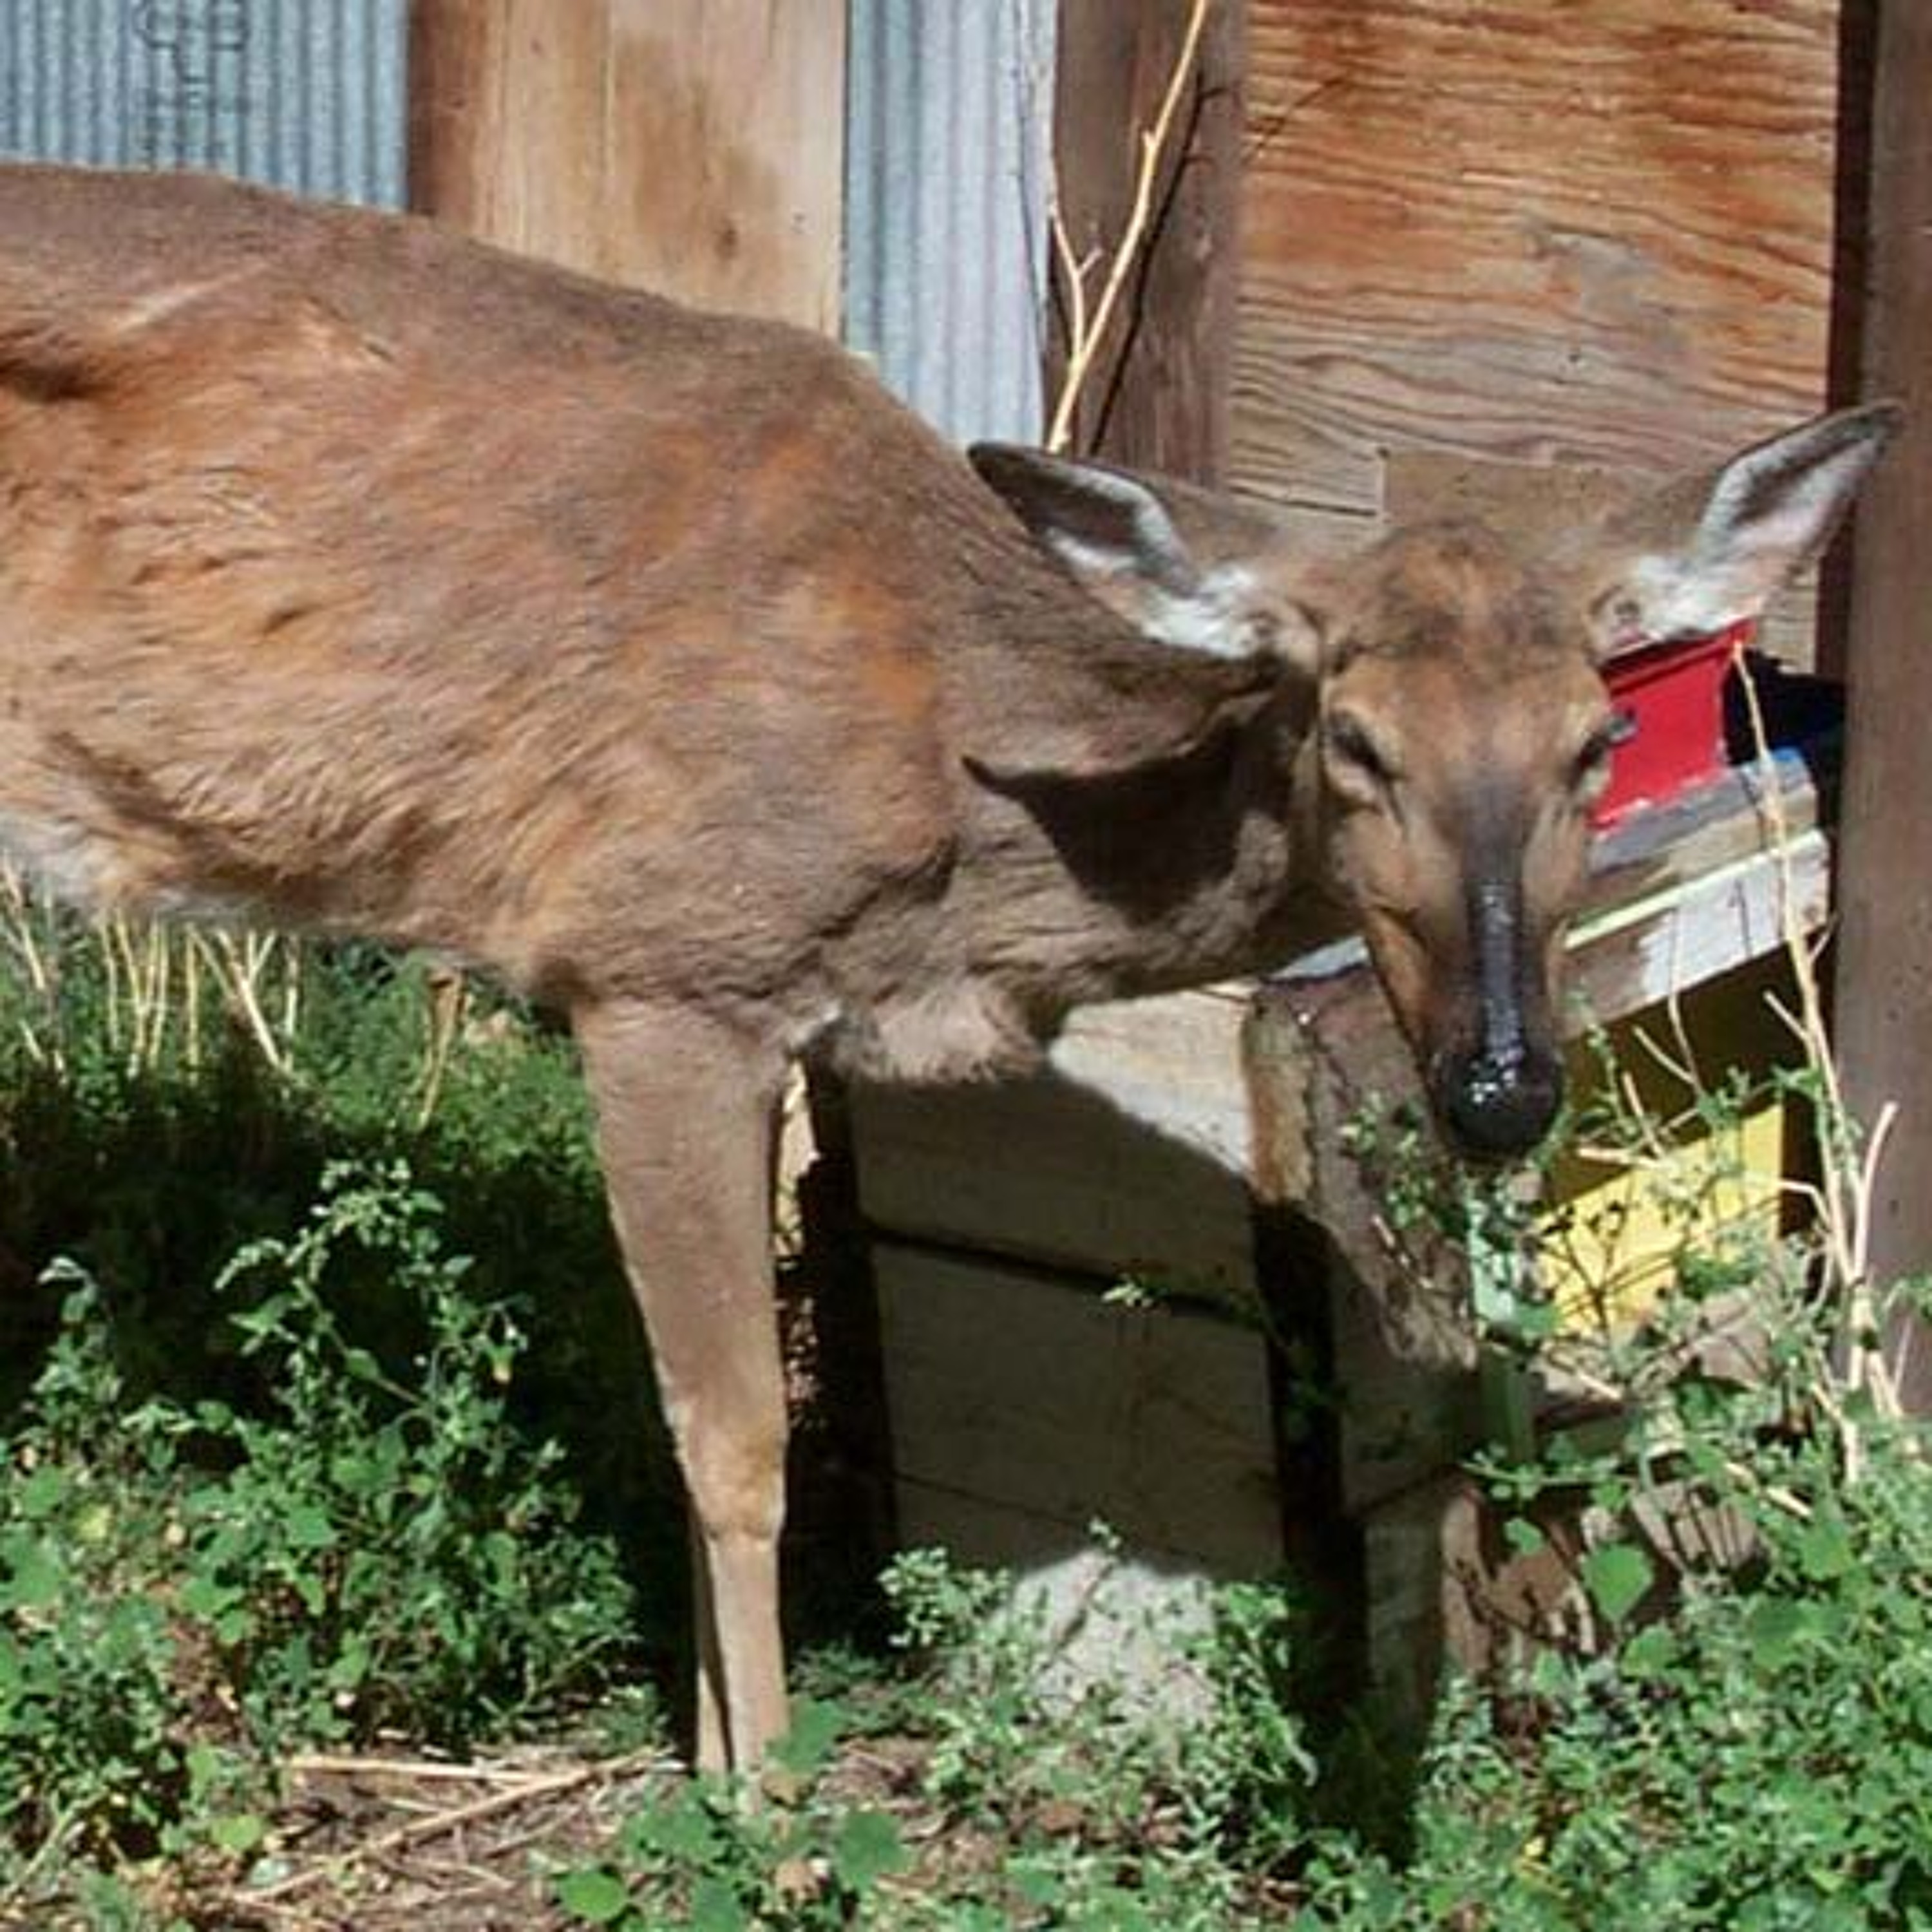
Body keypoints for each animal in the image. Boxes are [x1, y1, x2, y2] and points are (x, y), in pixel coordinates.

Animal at [0, 162, 1899, 1775]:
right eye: (1355, 740)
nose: (1504, 1085)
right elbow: (737, 1442)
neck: (954, 833)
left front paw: (716, 1745)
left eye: (1596, 742)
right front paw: (764, 1801)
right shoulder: (655, 961)